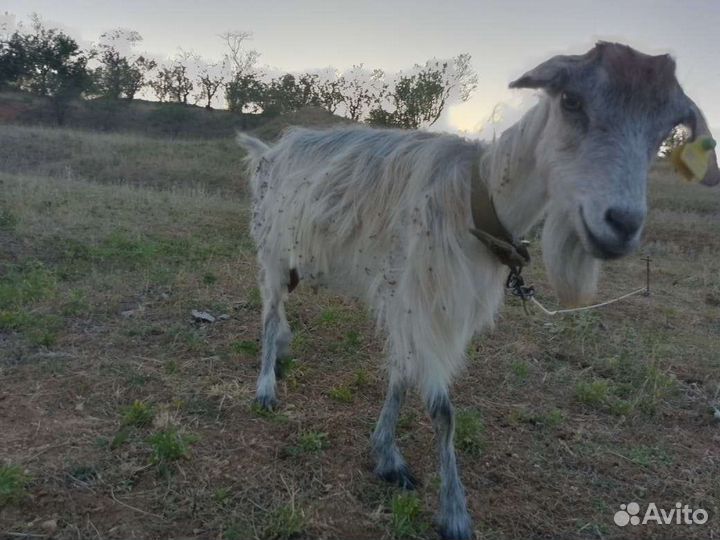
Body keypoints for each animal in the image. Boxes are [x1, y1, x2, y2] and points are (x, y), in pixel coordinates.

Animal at [237, 42, 719, 540]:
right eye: (570, 100)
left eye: (668, 126)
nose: (621, 224)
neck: (476, 198)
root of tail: (270, 149)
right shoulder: (423, 300)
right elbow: (442, 409)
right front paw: (453, 510)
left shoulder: (422, 304)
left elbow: (401, 379)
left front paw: (386, 454)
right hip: (271, 250)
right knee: (269, 315)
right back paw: (266, 387)